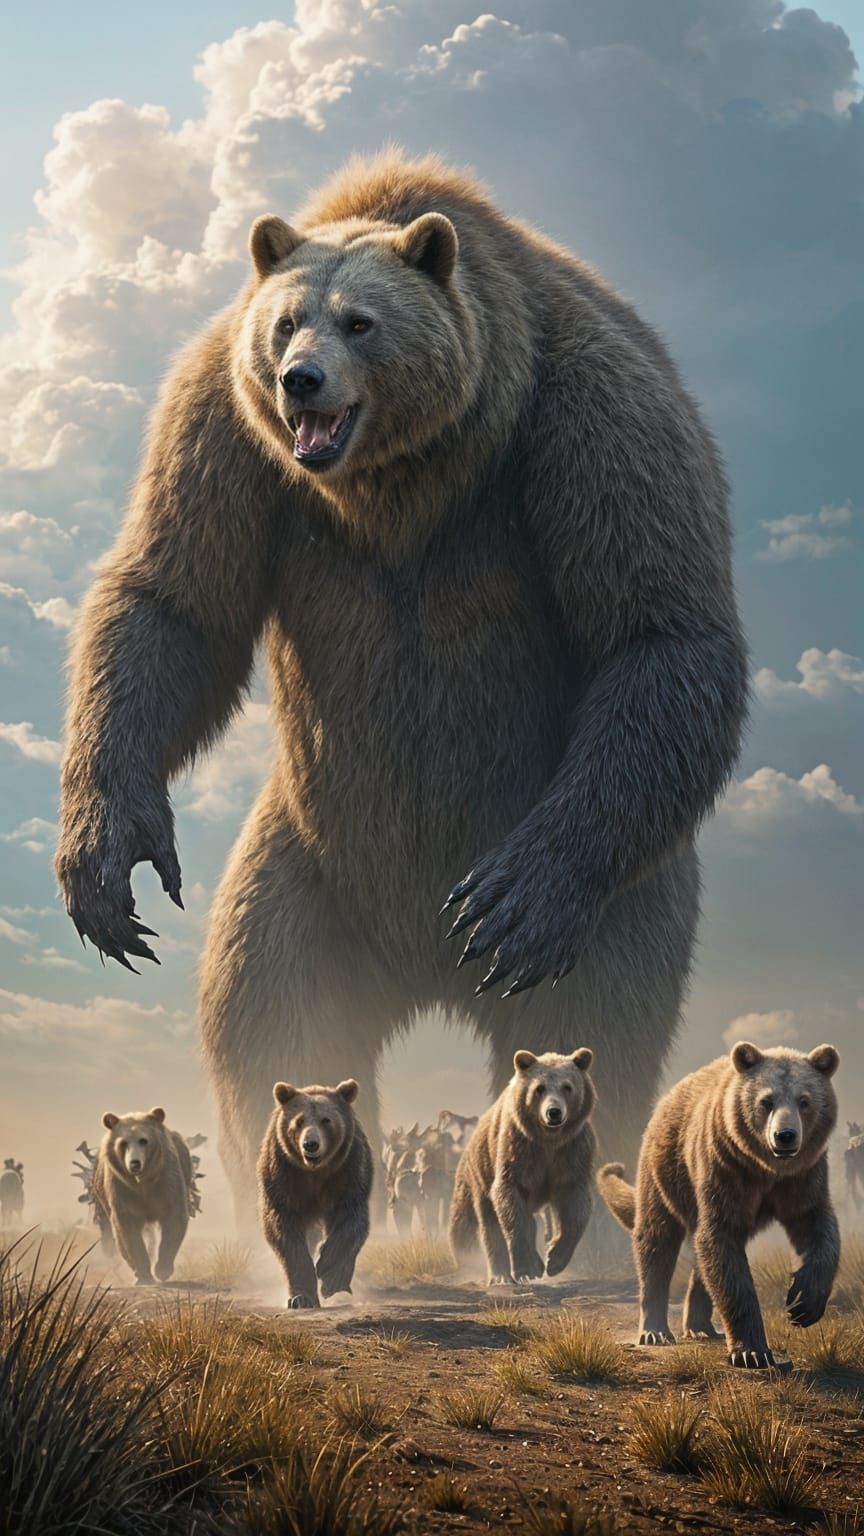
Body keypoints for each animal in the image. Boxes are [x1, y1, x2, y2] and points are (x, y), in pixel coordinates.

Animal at [54, 149, 748, 1227]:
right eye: (286, 321)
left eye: (360, 322)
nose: (300, 381)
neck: (408, 476)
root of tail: (423, 969)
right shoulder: (224, 436)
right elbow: (172, 604)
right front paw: (107, 868)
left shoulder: (590, 422)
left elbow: (658, 629)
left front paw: (510, 901)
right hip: (308, 869)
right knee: (267, 1016)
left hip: (615, 890)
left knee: (603, 1025)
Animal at [93, 1108, 193, 1284]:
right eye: (123, 1143)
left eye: (143, 1140)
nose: (134, 1163)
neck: (143, 1183)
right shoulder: (121, 1188)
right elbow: (128, 1231)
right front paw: (145, 1275)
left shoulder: (167, 1180)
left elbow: (175, 1218)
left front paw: (162, 1269)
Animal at [257, 1076, 372, 1308]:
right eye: (299, 1121)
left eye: (326, 1120)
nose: (310, 1144)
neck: (315, 1171)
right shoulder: (283, 1175)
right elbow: (284, 1231)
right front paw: (301, 1298)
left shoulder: (347, 1171)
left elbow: (350, 1222)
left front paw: (329, 1274)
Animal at [450, 1048, 596, 1284]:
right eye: (539, 1088)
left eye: (567, 1086)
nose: (554, 1112)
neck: (548, 1140)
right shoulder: (518, 1149)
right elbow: (511, 1204)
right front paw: (528, 1268)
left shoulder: (572, 1152)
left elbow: (575, 1206)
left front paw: (554, 1259)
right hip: (480, 1172)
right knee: (483, 1222)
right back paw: (497, 1273)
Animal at [598, 1041, 841, 1368]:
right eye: (766, 1101)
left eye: (804, 1100)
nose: (785, 1136)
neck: (766, 1170)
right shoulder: (726, 1170)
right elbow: (722, 1247)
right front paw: (752, 1351)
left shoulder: (803, 1179)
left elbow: (818, 1228)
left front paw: (803, 1303)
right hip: (665, 1170)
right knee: (656, 1241)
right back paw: (655, 1329)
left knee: (701, 1257)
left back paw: (700, 1324)